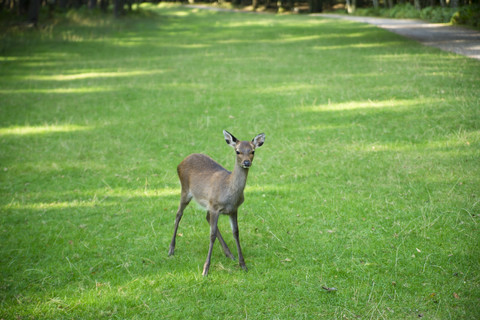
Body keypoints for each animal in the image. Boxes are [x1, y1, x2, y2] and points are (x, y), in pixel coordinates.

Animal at [169, 130, 266, 276]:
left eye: (252, 151)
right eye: (237, 151)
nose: (246, 162)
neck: (229, 195)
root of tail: (182, 161)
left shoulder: (233, 209)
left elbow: (236, 232)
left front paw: (243, 265)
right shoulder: (215, 206)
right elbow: (212, 235)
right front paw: (205, 269)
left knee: (206, 217)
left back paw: (229, 254)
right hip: (185, 190)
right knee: (178, 214)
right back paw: (171, 250)